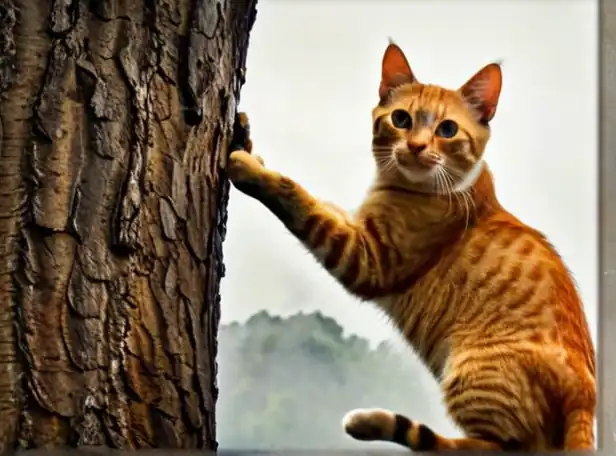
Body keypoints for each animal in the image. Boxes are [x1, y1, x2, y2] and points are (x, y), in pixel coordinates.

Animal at [227, 42, 596, 452]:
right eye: (401, 119)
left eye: (447, 129)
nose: (417, 146)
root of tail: (586, 399)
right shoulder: (356, 224)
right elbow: (319, 201)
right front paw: (246, 138)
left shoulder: (367, 259)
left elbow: (298, 198)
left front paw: (250, 170)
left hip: (471, 375)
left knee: (479, 447)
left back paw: (372, 423)